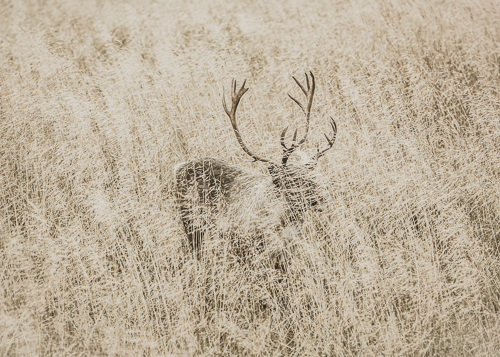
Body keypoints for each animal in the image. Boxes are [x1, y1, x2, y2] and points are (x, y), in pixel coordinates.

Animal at [174, 72, 338, 260]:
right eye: (291, 182)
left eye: (312, 176)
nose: (324, 198)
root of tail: (179, 167)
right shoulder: (248, 243)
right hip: (191, 221)